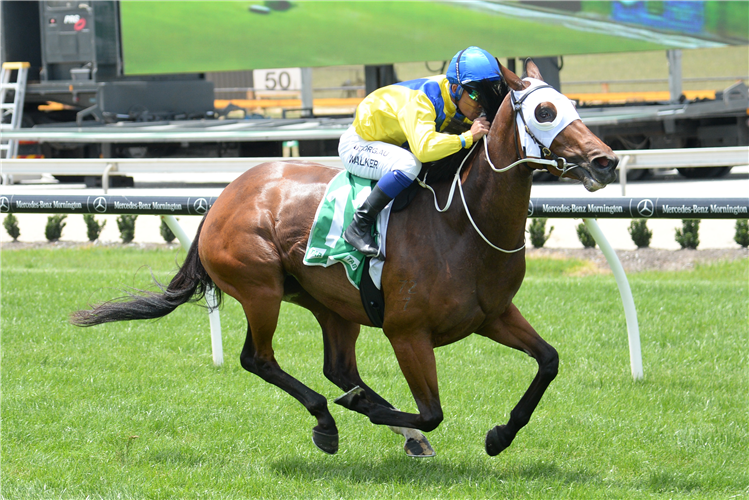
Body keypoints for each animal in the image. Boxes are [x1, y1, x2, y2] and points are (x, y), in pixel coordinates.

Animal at [73, 60, 616, 458]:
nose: (605, 161)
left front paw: (500, 435)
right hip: (260, 289)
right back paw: (330, 419)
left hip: (333, 305)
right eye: (544, 111)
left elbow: (549, 361)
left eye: (572, 104)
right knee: (260, 359)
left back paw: (372, 416)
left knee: (339, 368)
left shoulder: (494, 314)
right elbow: (433, 411)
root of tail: (223, 198)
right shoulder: (407, 332)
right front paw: (381, 415)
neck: (462, 226)